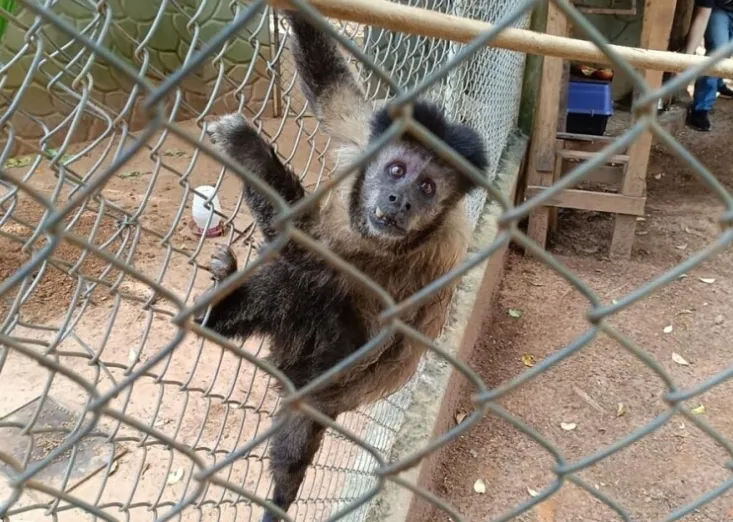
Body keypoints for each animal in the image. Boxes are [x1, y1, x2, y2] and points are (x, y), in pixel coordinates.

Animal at [195, 9, 488, 522]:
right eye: (396, 170)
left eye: (427, 188)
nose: (399, 200)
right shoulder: (365, 138)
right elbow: (331, 90)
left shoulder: (433, 250)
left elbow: (311, 256)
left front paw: (247, 148)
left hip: (321, 365)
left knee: (314, 286)